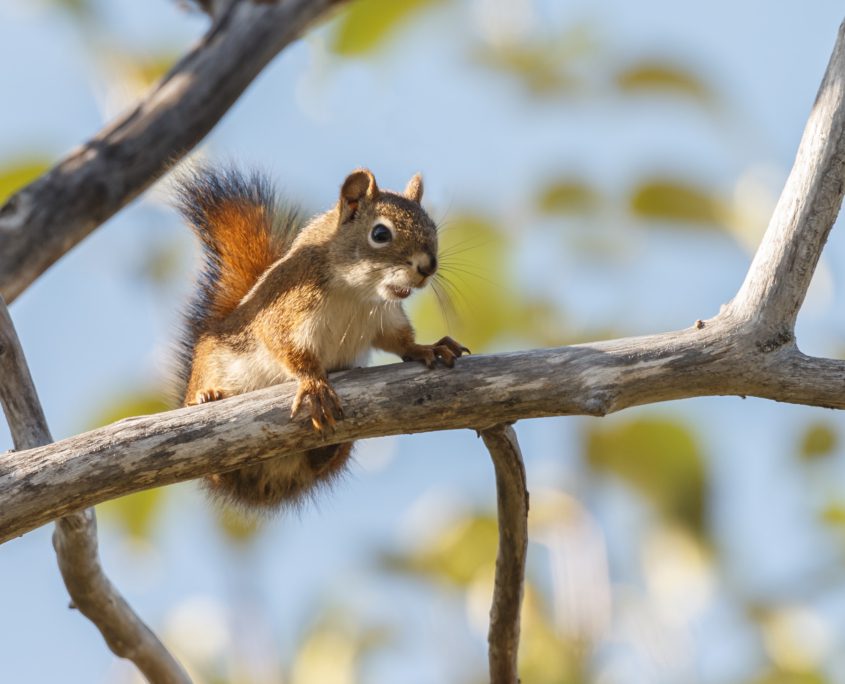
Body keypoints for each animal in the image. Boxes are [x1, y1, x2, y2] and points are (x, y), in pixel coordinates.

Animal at [174, 164, 468, 508]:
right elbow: (286, 347)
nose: (428, 266)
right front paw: (314, 384)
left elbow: (400, 341)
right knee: (216, 472)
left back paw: (327, 450)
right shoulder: (284, 311)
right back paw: (208, 396)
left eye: (432, 226)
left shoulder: (384, 318)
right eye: (380, 234)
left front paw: (427, 349)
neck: (355, 293)